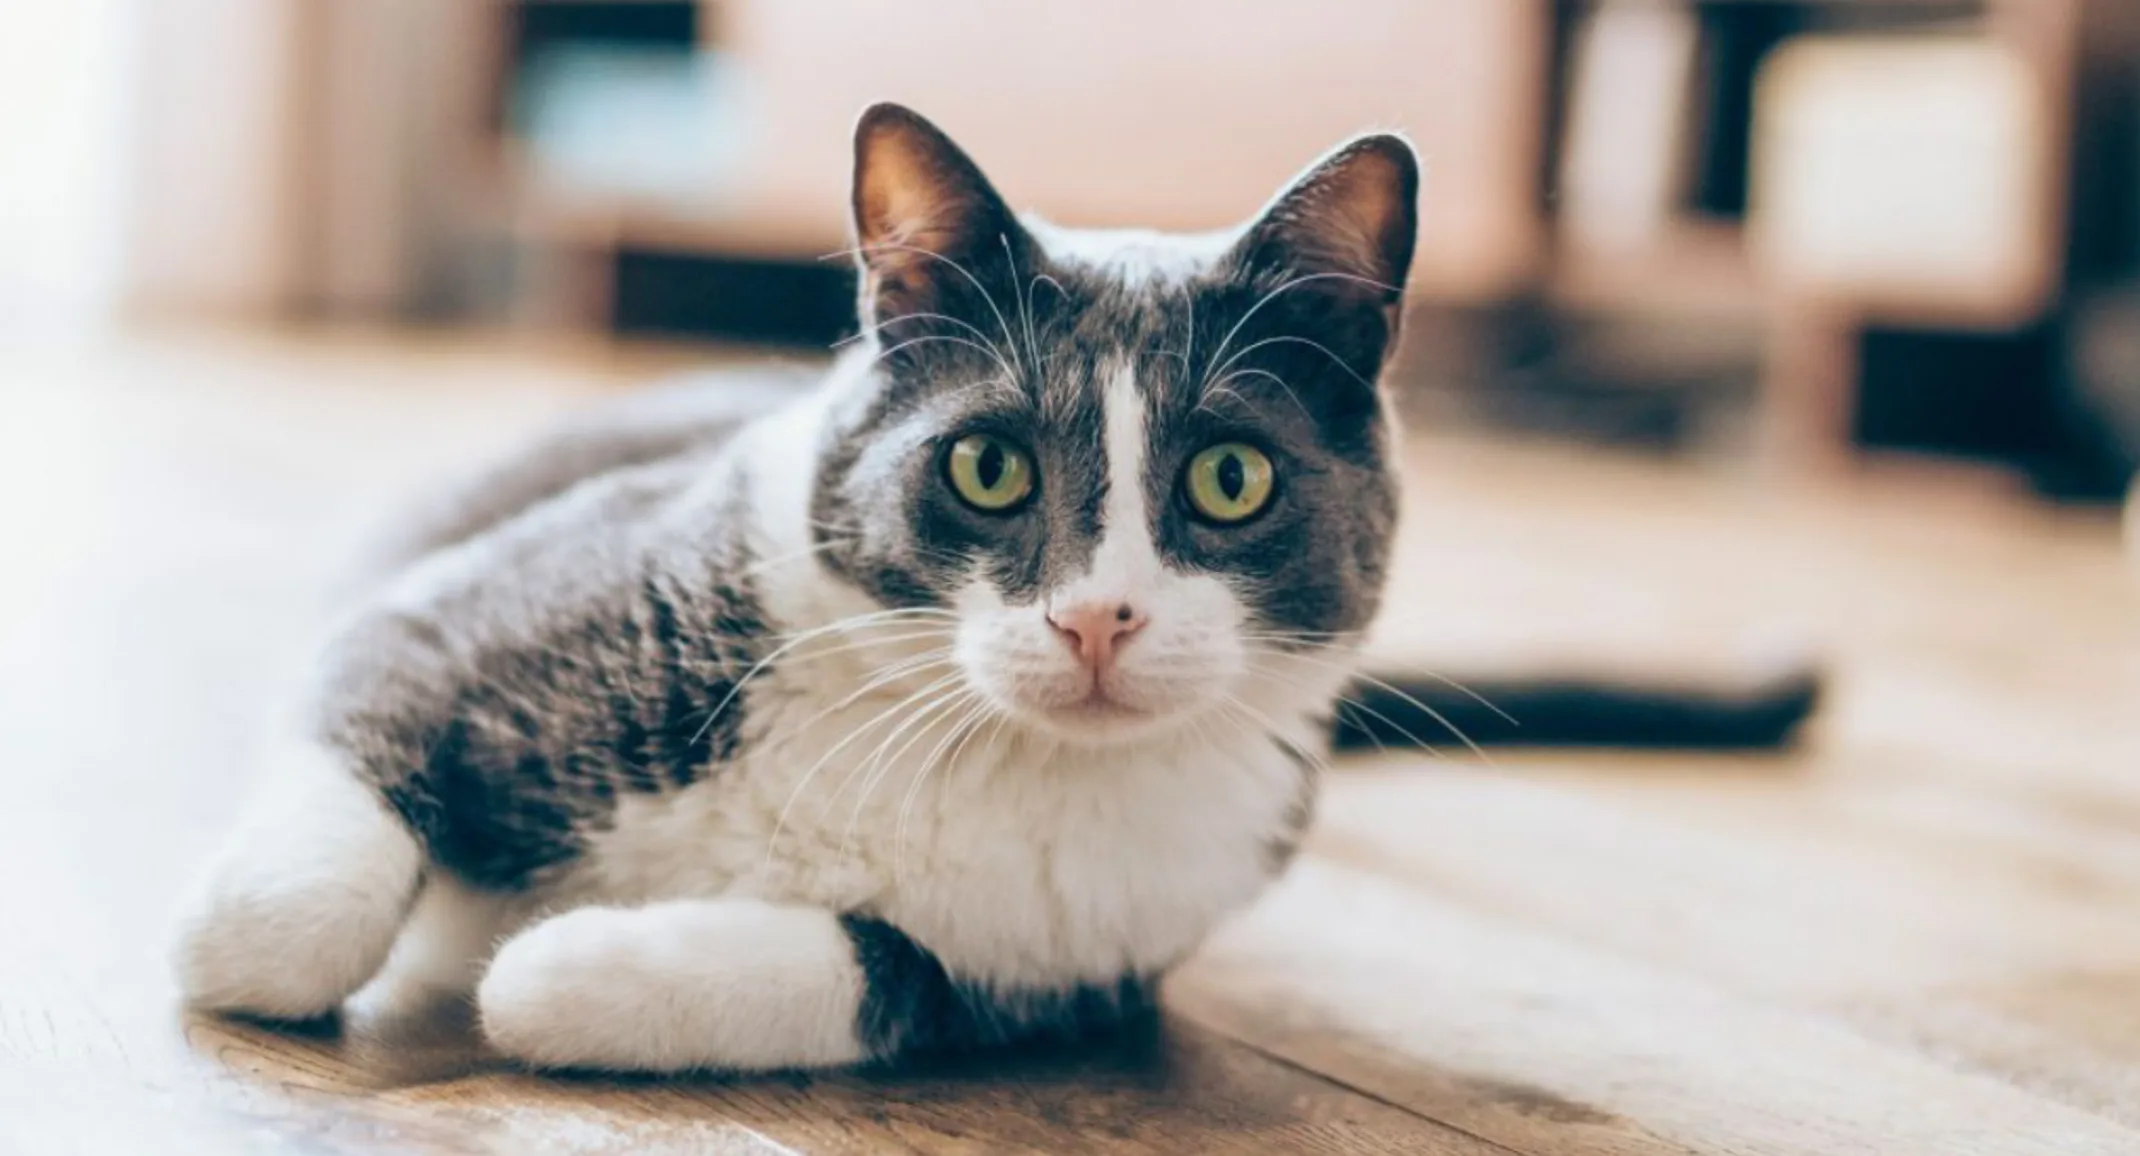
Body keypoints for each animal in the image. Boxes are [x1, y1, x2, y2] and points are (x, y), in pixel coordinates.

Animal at [166, 103, 1814, 1070]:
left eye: (1230, 480)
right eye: (988, 466)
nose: (1098, 616)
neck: (964, 742)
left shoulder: (1096, 953)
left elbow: (886, 973)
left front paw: (565, 969)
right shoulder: (459, 612)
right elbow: (319, 832)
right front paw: (235, 940)